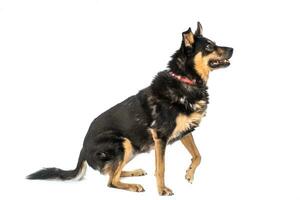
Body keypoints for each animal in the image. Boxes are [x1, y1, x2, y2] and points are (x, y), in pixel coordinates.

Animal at [27, 21, 234, 195]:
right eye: (209, 47)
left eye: (214, 44)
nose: (232, 48)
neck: (186, 80)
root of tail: (82, 150)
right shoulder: (161, 136)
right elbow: (161, 168)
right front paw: (162, 190)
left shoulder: (185, 132)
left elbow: (198, 155)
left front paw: (189, 173)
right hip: (122, 143)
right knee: (111, 180)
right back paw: (133, 185)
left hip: (132, 146)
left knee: (112, 173)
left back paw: (133, 172)